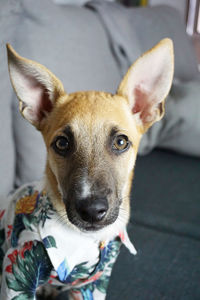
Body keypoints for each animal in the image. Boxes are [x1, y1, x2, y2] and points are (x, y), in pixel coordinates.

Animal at [0, 39, 173, 300]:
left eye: (121, 142)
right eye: (62, 143)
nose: (92, 211)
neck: (83, 239)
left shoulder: (94, 284)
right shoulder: (17, 275)